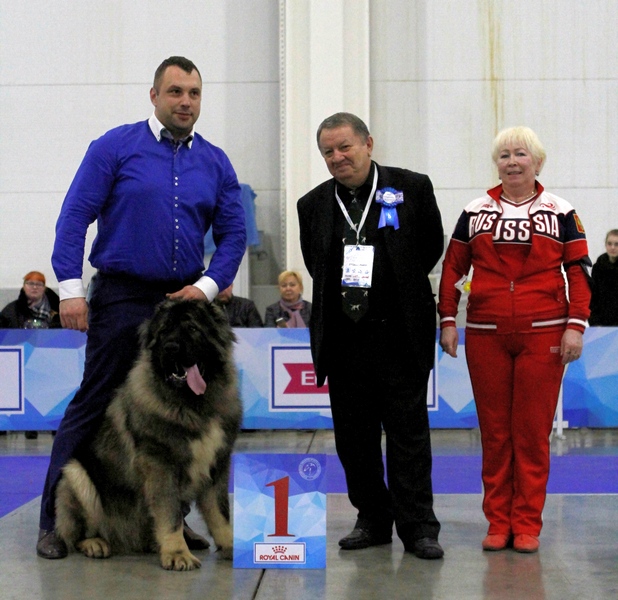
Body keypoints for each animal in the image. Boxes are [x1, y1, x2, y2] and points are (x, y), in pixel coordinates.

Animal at [55, 300, 242, 572]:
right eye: (163, 332)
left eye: (192, 329)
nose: (171, 347)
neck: (191, 405)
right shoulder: (161, 466)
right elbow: (171, 515)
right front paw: (177, 553)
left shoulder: (217, 465)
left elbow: (220, 512)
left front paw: (231, 545)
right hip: (76, 475)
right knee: (76, 533)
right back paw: (95, 543)